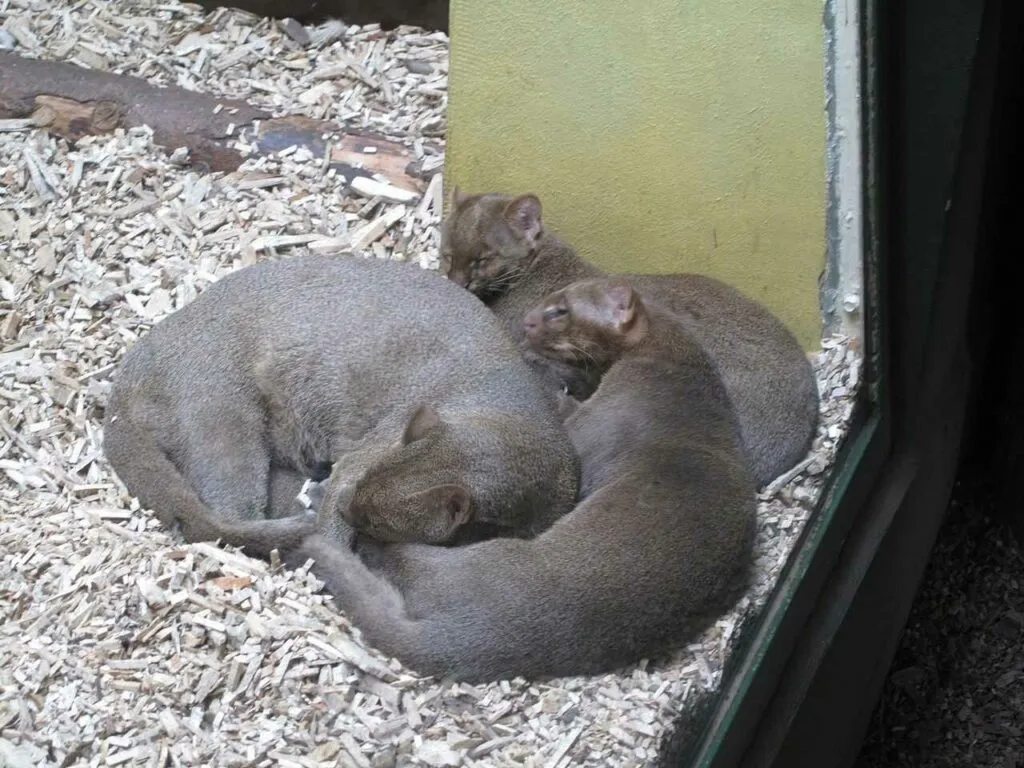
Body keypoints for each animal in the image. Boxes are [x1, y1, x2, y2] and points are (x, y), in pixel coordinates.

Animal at [109, 257, 585, 548]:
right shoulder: (365, 454)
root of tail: (127, 372)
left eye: (381, 519)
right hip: (223, 420)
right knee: (220, 520)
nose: (344, 505)